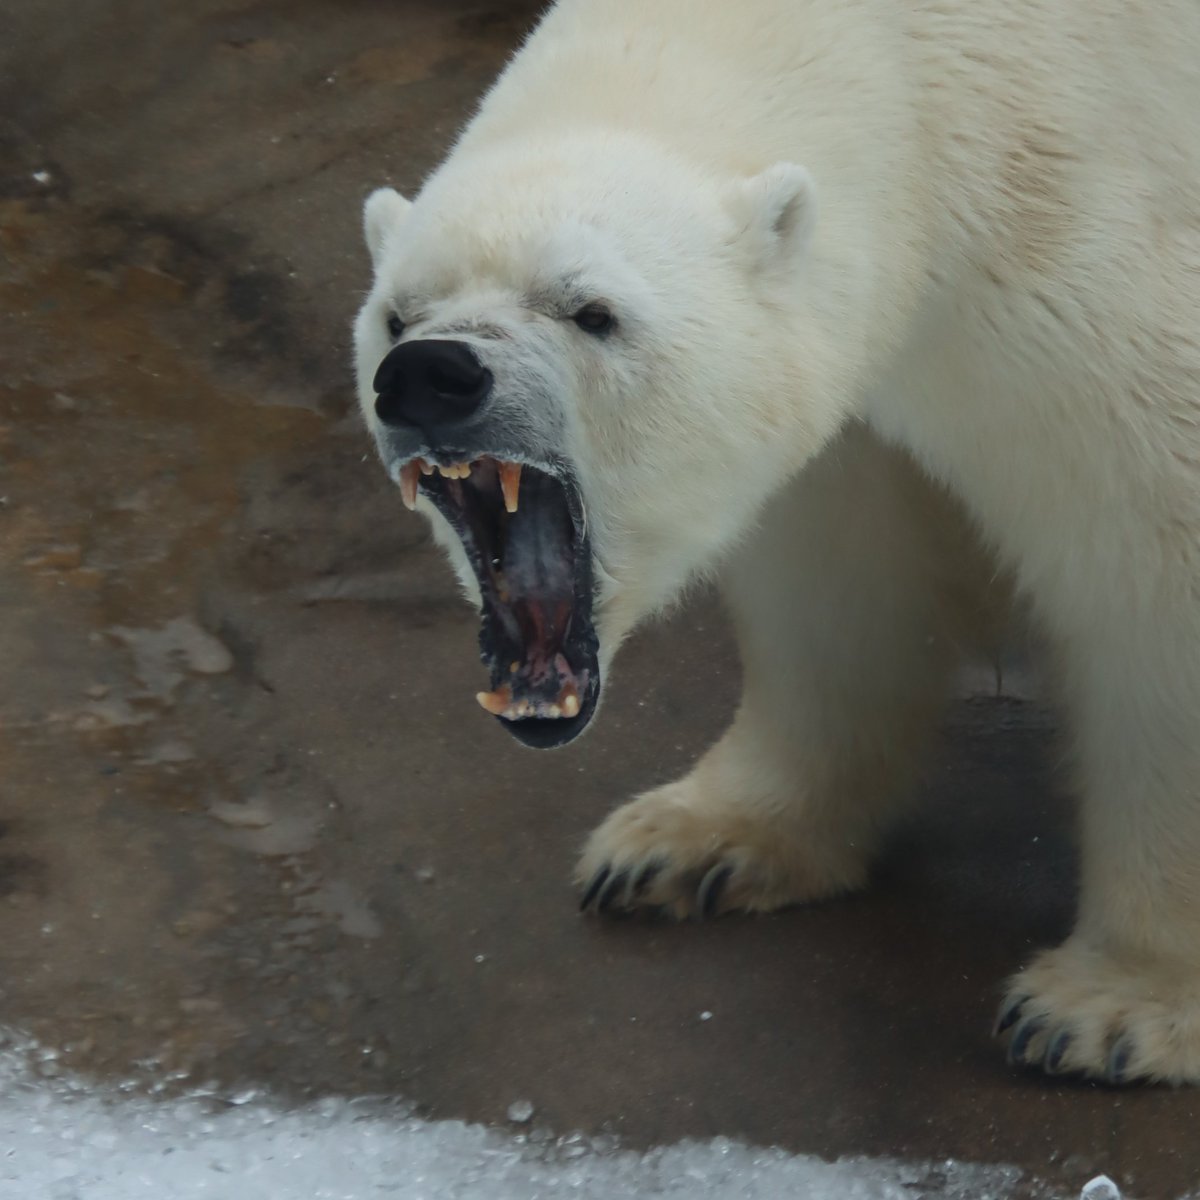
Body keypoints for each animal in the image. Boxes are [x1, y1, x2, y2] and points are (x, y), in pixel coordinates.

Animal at [350, 0, 1200, 1089]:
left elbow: (1156, 554)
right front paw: (688, 843)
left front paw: (1109, 1007)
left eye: (592, 311)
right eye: (396, 315)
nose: (431, 376)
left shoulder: (1078, 244)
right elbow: (834, 575)